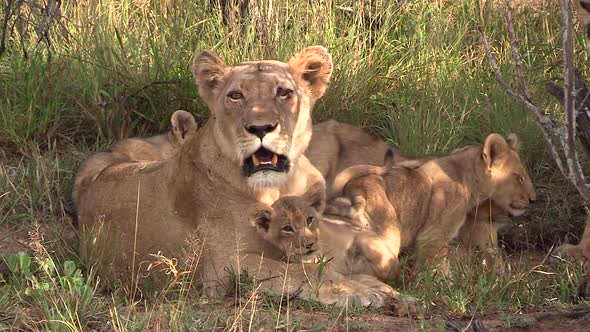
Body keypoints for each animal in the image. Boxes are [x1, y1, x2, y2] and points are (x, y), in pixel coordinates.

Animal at [76, 46, 404, 308]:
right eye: (235, 96)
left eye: (284, 92)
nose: (260, 128)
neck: (278, 187)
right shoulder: (221, 268)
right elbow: (300, 271)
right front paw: (359, 291)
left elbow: (324, 264)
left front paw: (377, 287)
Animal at [328, 134, 536, 276]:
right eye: (519, 177)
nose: (533, 199)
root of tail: (350, 189)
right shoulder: (434, 235)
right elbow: (438, 266)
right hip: (388, 233)